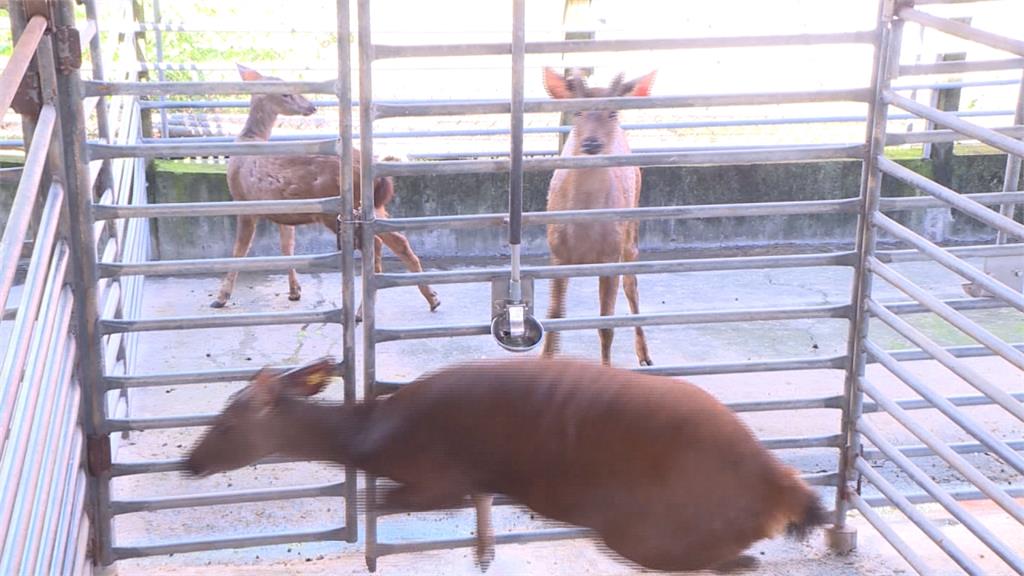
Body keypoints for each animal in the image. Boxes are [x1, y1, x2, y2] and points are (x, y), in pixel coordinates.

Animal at [190, 354, 831, 569]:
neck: (374, 434)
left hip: (644, 531)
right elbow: (482, 513)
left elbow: (379, 502)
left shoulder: (437, 474)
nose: (189, 464)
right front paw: (483, 553)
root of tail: (783, 488)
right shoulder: (476, 479)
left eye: (224, 423)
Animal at [211, 63, 440, 313]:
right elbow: (287, 247)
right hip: (374, 207)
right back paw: (432, 298)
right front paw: (294, 291)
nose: (311, 106)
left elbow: (239, 251)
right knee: (398, 240)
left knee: (375, 244)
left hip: (339, 210)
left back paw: (361, 311)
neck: (250, 139)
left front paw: (221, 297)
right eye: (285, 93)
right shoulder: (281, 212)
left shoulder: (243, 200)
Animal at [544, 66, 655, 362]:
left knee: (632, 283)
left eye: (613, 112)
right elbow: (554, 318)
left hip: (631, 222)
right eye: (577, 111)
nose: (591, 143)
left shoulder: (610, 256)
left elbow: (606, 326)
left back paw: (644, 354)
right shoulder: (556, 254)